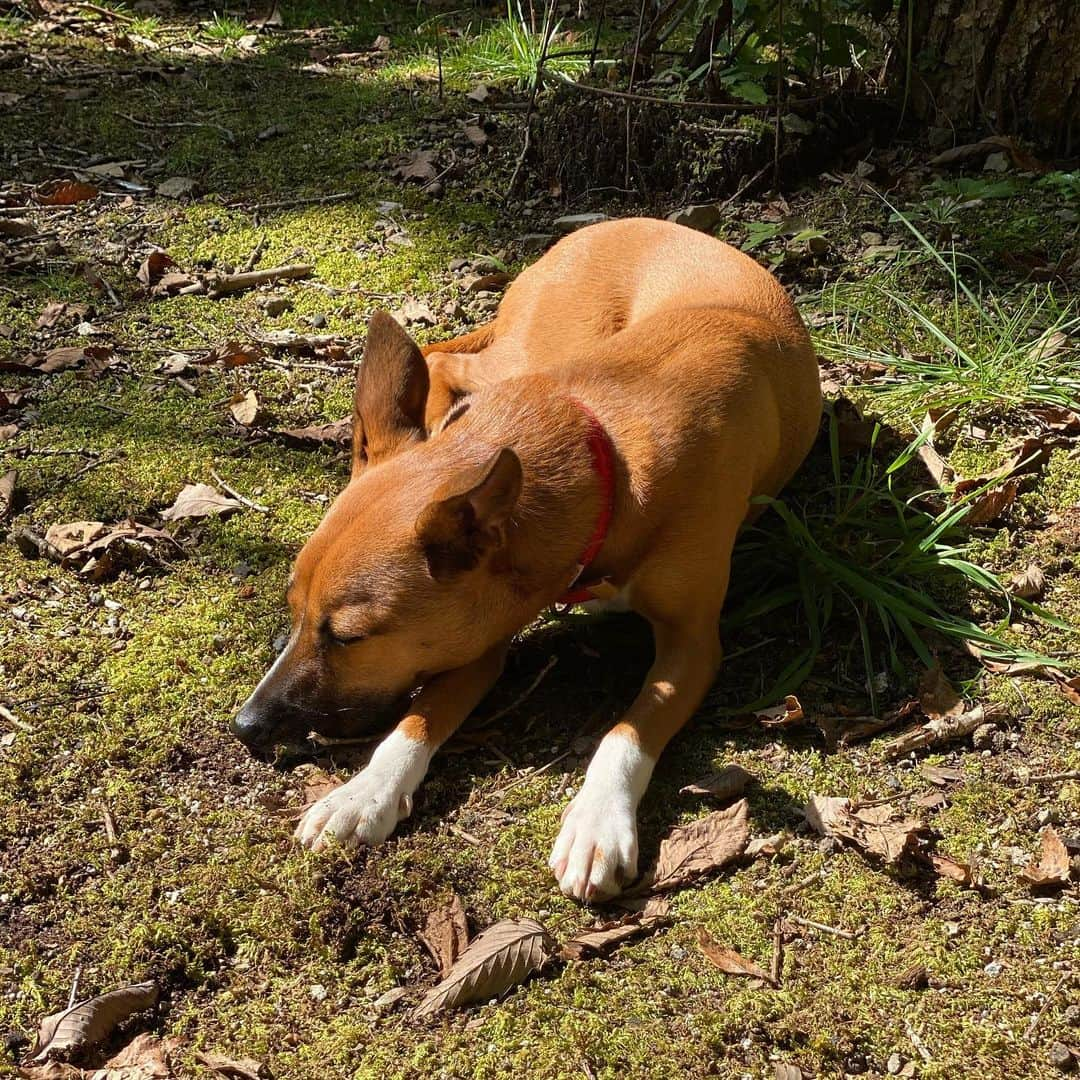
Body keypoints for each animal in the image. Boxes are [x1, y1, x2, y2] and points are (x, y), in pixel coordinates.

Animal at [230, 214, 816, 898]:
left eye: (348, 637)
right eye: (291, 608)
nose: (247, 727)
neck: (603, 451)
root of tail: (615, 224)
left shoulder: (693, 645)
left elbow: (628, 728)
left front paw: (598, 819)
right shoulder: (474, 639)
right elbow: (416, 719)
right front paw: (365, 791)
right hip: (530, 348)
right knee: (445, 357)